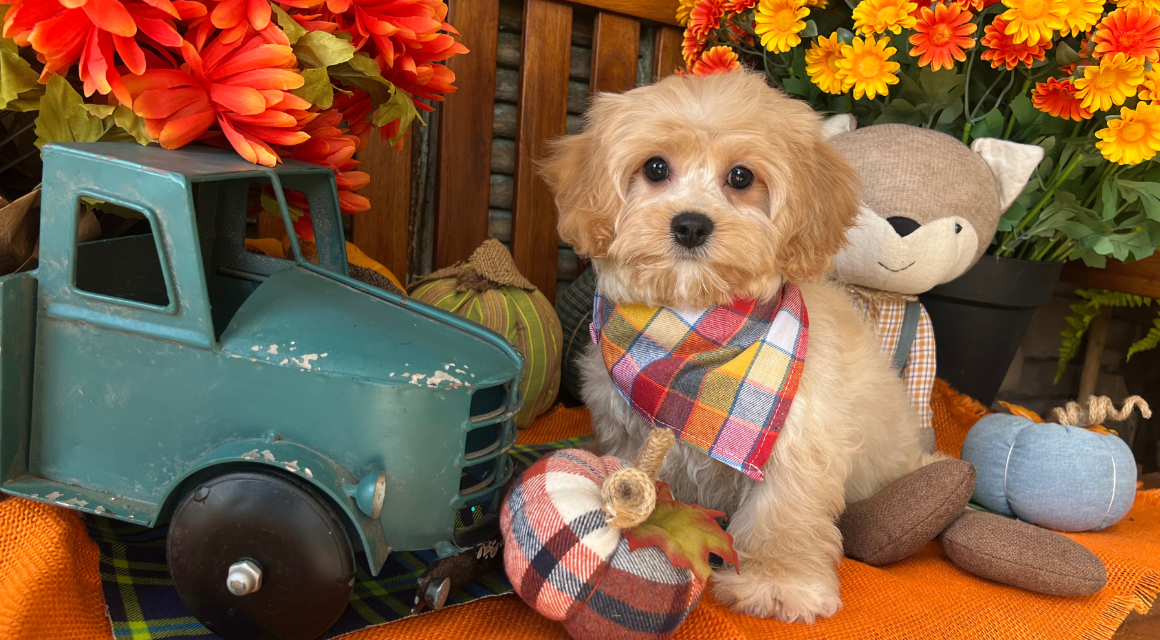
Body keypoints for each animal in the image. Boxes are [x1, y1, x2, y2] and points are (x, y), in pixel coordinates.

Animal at [540, 71, 932, 626]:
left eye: (742, 178)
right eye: (655, 167)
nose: (690, 225)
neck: (694, 328)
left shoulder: (798, 437)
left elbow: (784, 510)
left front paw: (778, 583)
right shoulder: (628, 431)